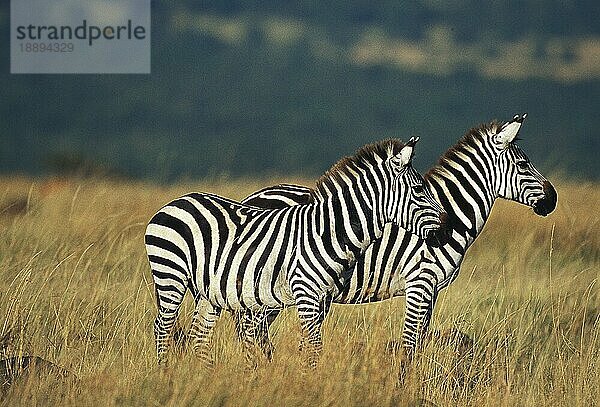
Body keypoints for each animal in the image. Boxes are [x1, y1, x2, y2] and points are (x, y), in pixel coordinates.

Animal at [144, 139, 446, 368]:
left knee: (198, 335)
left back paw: (206, 377)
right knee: (162, 326)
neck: (329, 232)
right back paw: (164, 374)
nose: (445, 229)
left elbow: (309, 345)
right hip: (170, 274)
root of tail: (176, 201)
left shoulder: (323, 297)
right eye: (419, 190)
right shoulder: (306, 292)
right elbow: (313, 346)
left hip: (209, 290)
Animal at [231, 115, 556, 364]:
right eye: (524, 164)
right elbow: (409, 345)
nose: (552, 200)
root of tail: (250, 197)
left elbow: (420, 342)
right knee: (251, 336)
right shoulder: (419, 284)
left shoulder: (433, 292)